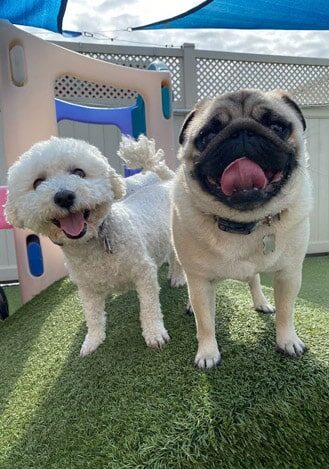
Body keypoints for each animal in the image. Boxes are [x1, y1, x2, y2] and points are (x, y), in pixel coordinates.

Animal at [5, 134, 184, 354]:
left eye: (79, 172)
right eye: (37, 182)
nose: (64, 196)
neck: (91, 243)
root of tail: (166, 182)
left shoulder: (144, 273)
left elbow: (149, 308)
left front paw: (155, 334)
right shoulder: (87, 289)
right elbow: (93, 316)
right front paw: (92, 342)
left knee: (177, 258)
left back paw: (177, 277)